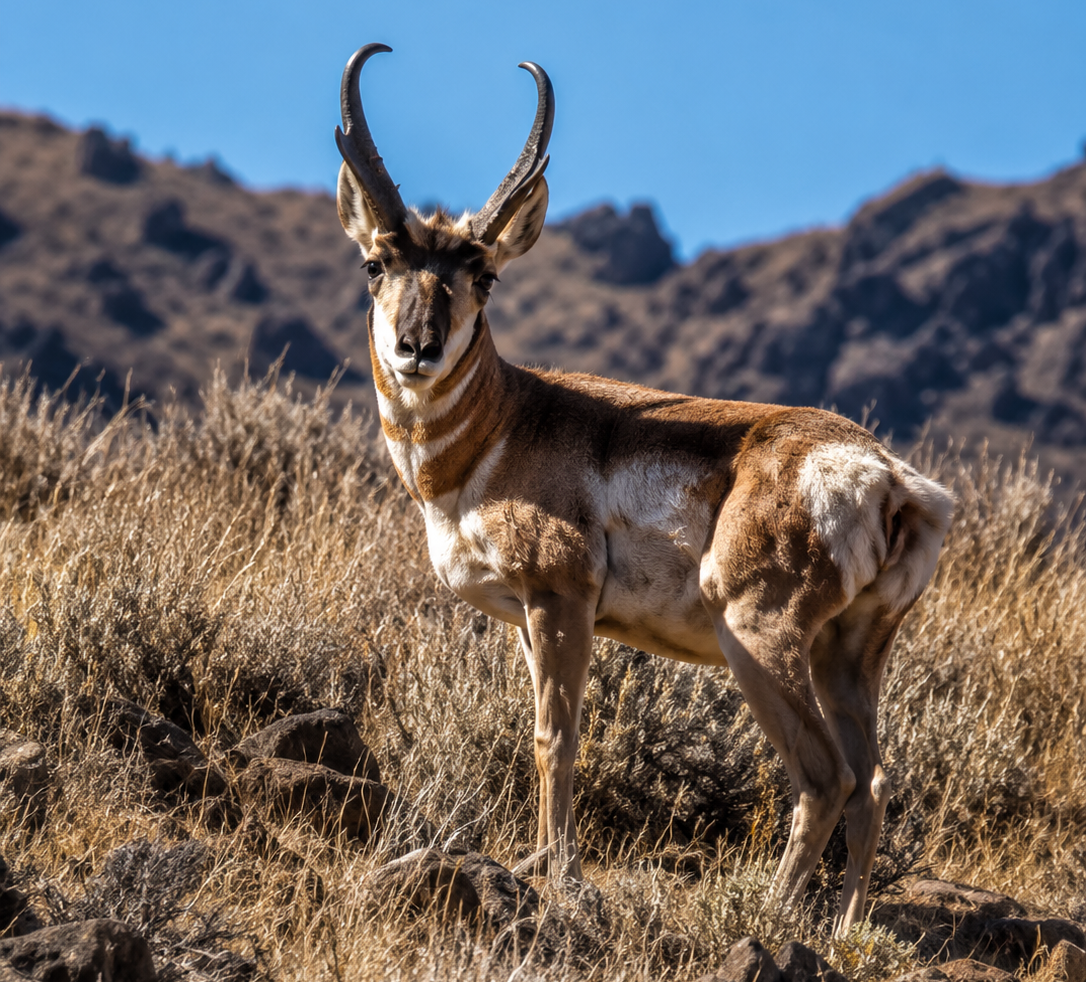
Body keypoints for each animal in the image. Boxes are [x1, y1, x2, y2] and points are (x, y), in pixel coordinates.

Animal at [334, 42, 954, 932]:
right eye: (376, 262)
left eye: (483, 275)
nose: (418, 347)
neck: (509, 421)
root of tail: (886, 474)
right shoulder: (528, 620)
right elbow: (543, 729)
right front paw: (539, 862)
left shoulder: (560, 601)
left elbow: (555, 738)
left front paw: (560, 873)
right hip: (848, 652)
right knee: (871, 780)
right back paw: (843, 930)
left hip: (757, 636)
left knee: (825, 775)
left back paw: (769, 915)